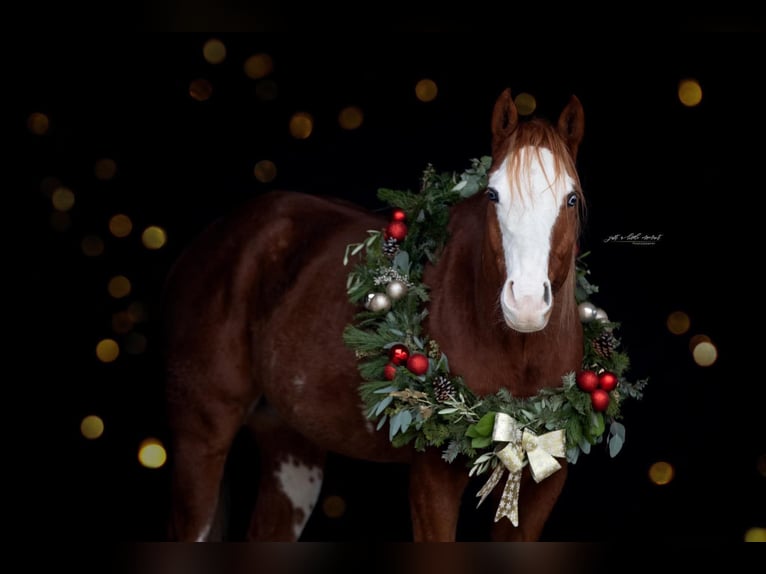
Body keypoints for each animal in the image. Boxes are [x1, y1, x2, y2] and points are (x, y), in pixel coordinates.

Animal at [162, 88, 586, 542]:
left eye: (571, 198)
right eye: (493, 195)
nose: (526, 303)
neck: (517, 352)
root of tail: (214, 237)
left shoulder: (545, 484)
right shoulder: (432, 479)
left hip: (291, 450)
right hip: (201, 441)